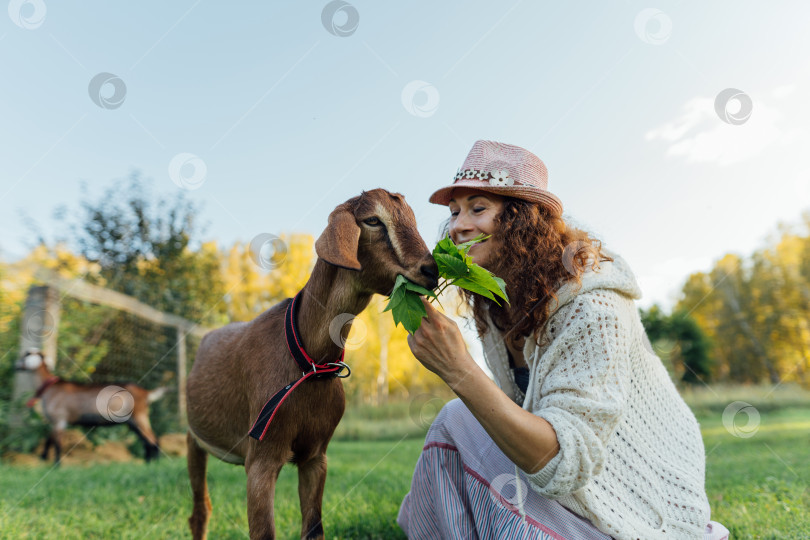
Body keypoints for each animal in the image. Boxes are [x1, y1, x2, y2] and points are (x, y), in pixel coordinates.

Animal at [15, 350, 167, 464]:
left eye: (27, 354)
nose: (16, 364)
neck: (50, 387)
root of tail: (146, 393)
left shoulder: (60, 419)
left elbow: (58, 444)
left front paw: (56, 465)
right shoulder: (54, 422)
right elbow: (49, 439)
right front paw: (43, 458)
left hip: (139, 416)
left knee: (153, 440)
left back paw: (155, 463)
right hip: (132, 421)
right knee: (146, 441)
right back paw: (148, 462)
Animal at [185, 190, 436, 540]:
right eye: (373, 220)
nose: (431, 270)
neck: (308, 363)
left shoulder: (316, 455)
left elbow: (314, 529)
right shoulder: (262, 456)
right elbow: (263, 533)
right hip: (192, 438)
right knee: (200, 511)